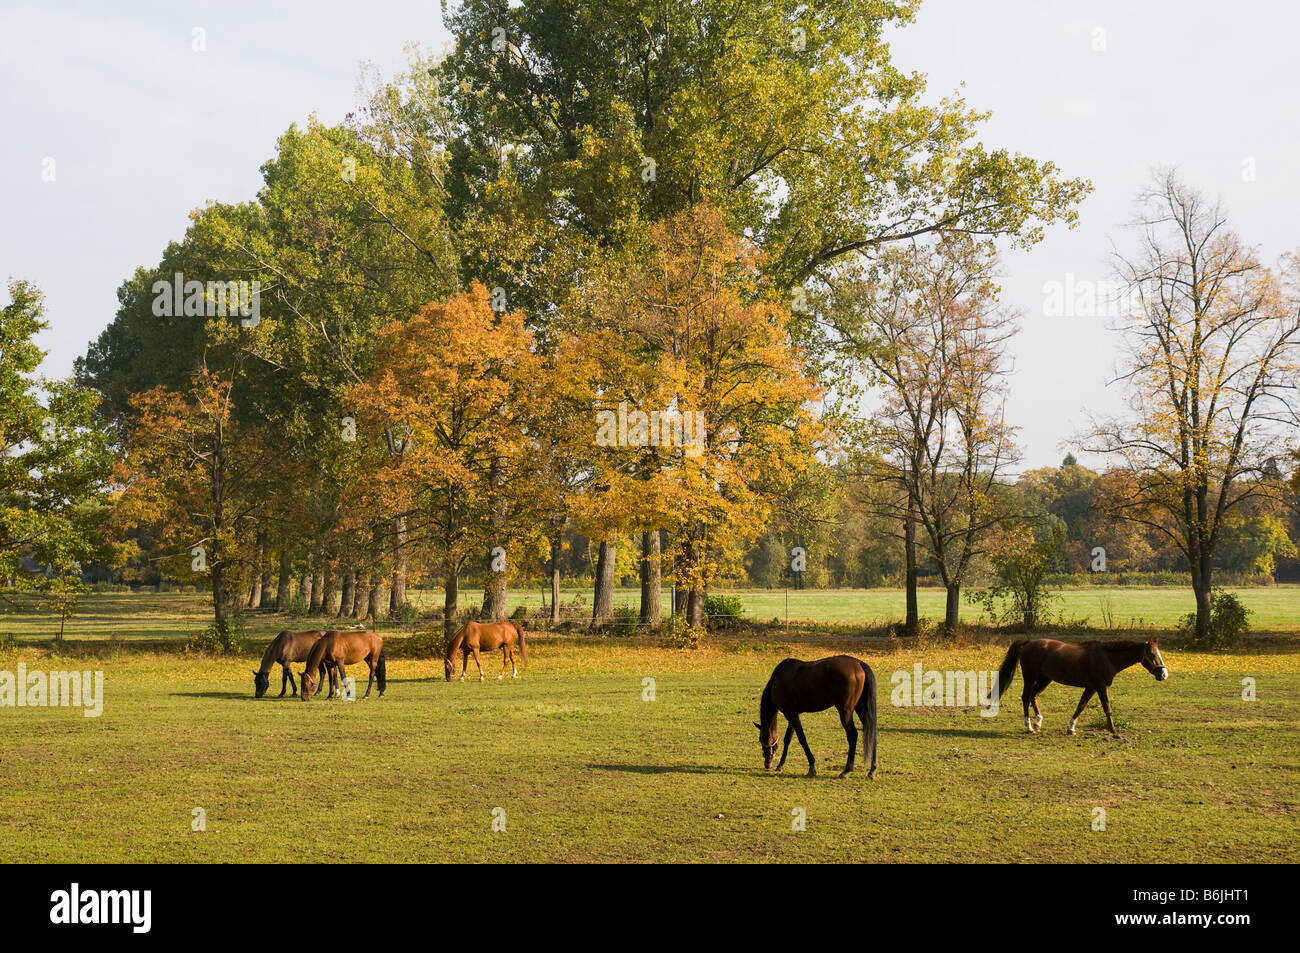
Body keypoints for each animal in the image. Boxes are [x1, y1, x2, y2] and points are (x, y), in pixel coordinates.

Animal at [993, 634, 1170, 738]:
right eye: (1152, 654)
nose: (1164, 674)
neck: (1107, 657)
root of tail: (1027, 643)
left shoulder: (1091, 687)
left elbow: (1081, 706)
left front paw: (1071, 728)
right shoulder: (1100, 686)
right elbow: (1107, 708)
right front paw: (1114, 732)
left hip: (1045, 679)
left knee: (1033, 696)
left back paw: (1038, 723)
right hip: (1030, 678)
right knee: (1025, 697)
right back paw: (1029, 726)